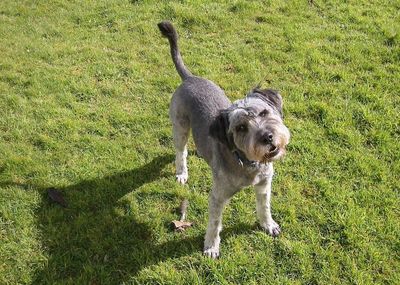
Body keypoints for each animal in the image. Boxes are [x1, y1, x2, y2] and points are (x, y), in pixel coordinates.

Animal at [158, 21, 292, 258]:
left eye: (264, 112)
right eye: (241, 127)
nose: (268, 137)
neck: (248, 164)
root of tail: (190, 78)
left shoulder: (264, 185)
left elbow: (264, 207)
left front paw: (268, 225)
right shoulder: (218, 197)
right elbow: (214, 223)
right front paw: (211, 247)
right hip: (180, 128)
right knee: (180, 152)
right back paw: (182, 173)